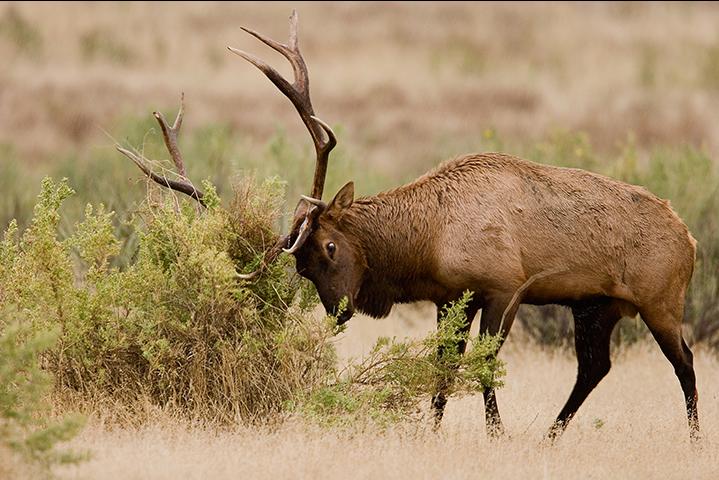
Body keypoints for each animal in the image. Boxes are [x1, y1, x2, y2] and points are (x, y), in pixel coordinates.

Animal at [116, 10, 696, 442]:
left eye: (330, 246)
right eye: (301, 268)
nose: (339, 312)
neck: (429, 241)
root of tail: (690, 238)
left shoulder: (505, 287)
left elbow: (484, 368)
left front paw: (495, 434)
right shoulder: (450, 297)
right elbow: (443, 368)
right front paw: (433, 429)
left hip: (660, 300)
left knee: (684, 361)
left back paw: (691, 438)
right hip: (596, 306)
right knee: (595, 367)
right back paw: (551, 435)